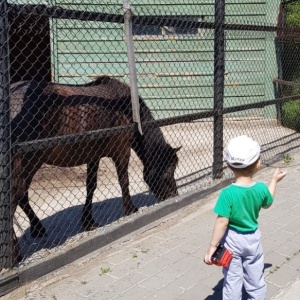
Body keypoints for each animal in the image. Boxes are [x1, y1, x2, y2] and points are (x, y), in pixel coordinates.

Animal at [11, 75, 180, 262]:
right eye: (169, 170)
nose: (174, 195)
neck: (129, 110)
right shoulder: (122, 151)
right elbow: (124, 181)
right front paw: (130, 209)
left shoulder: (94, 156)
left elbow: (91, 186)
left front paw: (88, 221)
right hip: (28, 164)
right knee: (16, 197)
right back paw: (16, 252)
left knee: (21, 198)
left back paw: (37, 229)